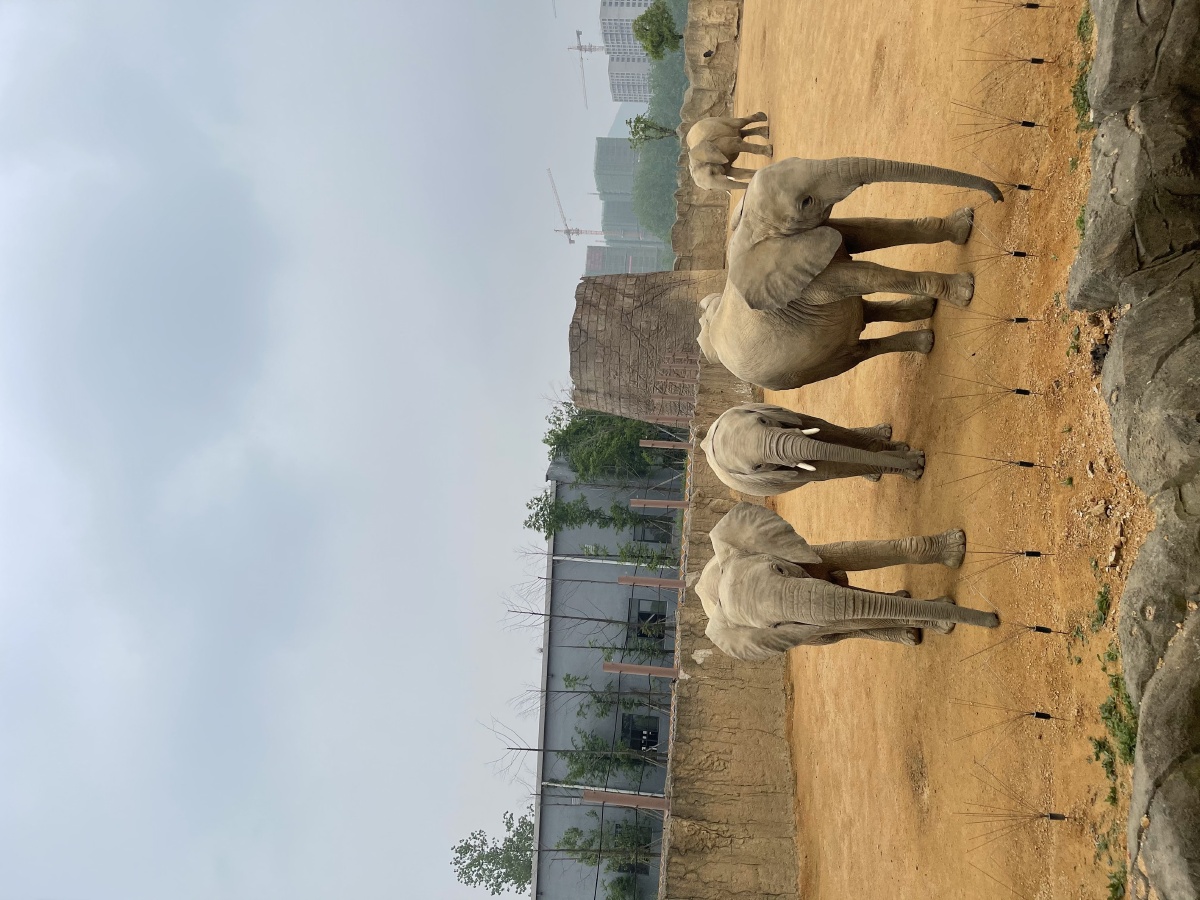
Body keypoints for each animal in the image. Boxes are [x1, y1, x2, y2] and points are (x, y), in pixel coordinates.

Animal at [695, 503, 999, 661]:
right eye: (775, 626)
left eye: (779, 569)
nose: (995, 619)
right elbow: (852, 618)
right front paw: (943, 621)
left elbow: (853, 554)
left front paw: (956, 548)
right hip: (813, 641)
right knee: (842, 633)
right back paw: (909, 633)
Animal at [698, 156, 1005, 391]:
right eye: (806, 201)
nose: (998, 197)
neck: (752, 228)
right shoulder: (803, 283)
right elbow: (862, 275)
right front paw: (965, 290)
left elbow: (871, 231)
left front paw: (964, 225)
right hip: (798, 371)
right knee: (856, 353)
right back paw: (926, 340)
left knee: (861, 312)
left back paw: (925, 309)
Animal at [699, 403, 924, 496]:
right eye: (758, 467)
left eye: (763, 420)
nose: (914, 462)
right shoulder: (784, 475)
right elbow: (830, 470)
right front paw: (914, 465)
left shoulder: (788, 415)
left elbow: (828, 430)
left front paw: (905, 454)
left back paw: (885, 432)